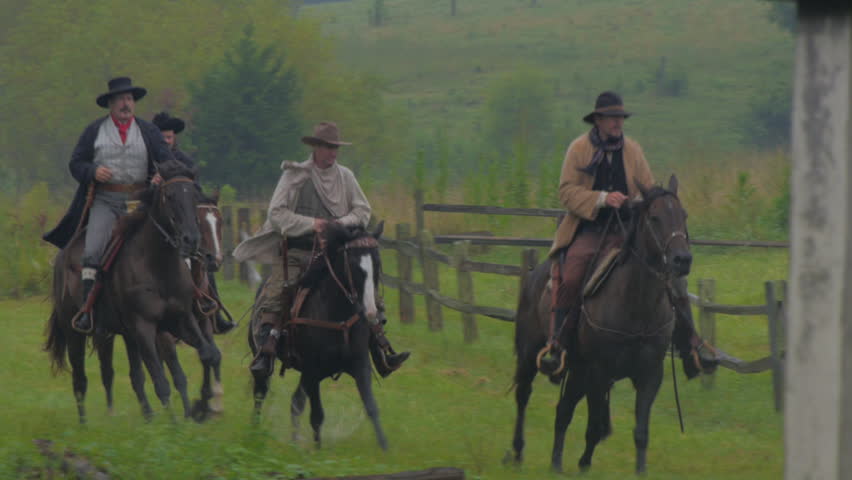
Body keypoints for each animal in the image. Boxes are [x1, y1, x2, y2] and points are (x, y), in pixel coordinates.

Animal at [44, 166, 220, 424]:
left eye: (194, 197)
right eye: (169, 196)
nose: (192, 240)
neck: (158, 267)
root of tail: (62, 257)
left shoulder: (182, 320)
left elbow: (207, 355)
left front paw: (200, 408)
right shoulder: (146, 328)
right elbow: (162, 379)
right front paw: (175, 424)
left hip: (121, 334)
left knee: (132, 375)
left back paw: (145, 415)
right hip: (76, 332)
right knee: (81, 380)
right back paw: (86, 424)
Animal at [248, 224, 392, 450]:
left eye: (377, 264)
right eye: (354, 266)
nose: (371, 313)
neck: (337, 315)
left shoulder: (360, 364)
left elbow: (371, 406)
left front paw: (385, 448)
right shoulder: (312, 369)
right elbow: (317, 415)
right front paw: (316, 450)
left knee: (295, 401)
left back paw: (294, 439)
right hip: (267, 361)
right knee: (261, 392)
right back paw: (255, 432)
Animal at [510, 175, 688, 472]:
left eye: (683, 215)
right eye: (654, 217)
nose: (682, 260)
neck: (636, 306)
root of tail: (534, 276)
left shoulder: (649, 375)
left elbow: (641, 433)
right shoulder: (599, 373)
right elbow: (593, 426)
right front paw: (584, 466)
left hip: (577, 372)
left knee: (563, 410)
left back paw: (555, 463)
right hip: (530, 354)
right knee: (524, 394)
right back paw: (517, 452)